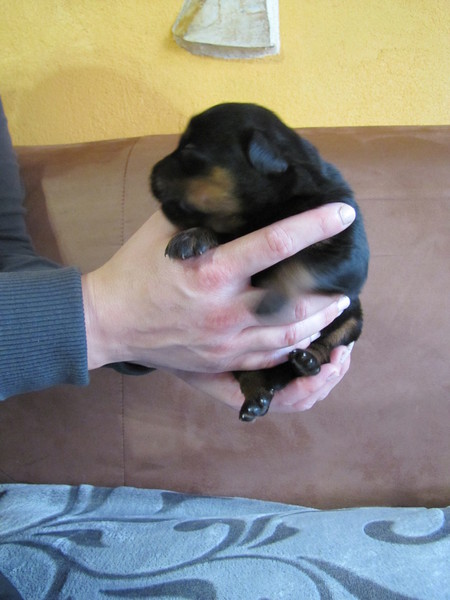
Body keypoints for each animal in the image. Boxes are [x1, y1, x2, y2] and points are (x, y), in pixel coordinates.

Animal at [151, 103, 369, 422]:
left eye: (190, 150)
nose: (151, 172)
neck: (265, 213)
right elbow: (220, 231)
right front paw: (192, 236)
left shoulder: (348, 248)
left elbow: (301, 266)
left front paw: (274, 296)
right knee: (249, 371)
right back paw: (257, 397)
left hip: (352, 316)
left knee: (327, 344)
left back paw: (307, 362)